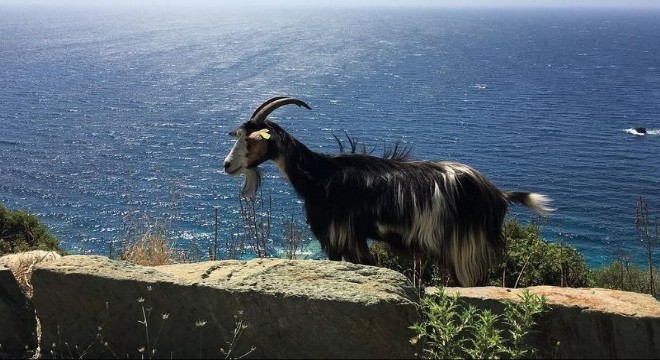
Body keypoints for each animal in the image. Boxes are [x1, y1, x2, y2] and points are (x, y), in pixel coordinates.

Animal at [222, 96, 552, 286]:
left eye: (252, 140)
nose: (227, 165)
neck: (321, 176)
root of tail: (496, 194)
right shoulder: (354, 237)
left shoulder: (340, 235)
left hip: (466, 248)